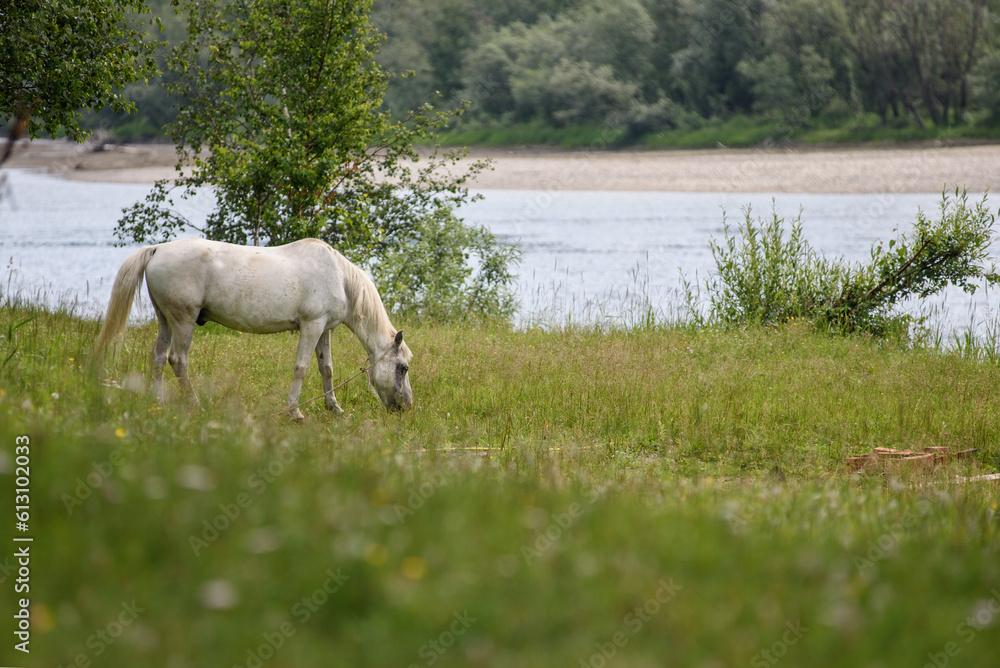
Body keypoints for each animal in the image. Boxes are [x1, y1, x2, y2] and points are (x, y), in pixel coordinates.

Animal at [95, 237, 413, 419]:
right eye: (403, 368)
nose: (406, 407)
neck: (338, 276)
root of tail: (157, 249)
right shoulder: (311, 326)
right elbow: (301, 368)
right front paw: (295, 411)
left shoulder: (324, 329)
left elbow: (327, 369)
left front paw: (334, 408)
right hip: (183, 321)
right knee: (178, 360)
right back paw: (196, 404)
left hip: (165, 320)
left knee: (159, 358)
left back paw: (159, 403)